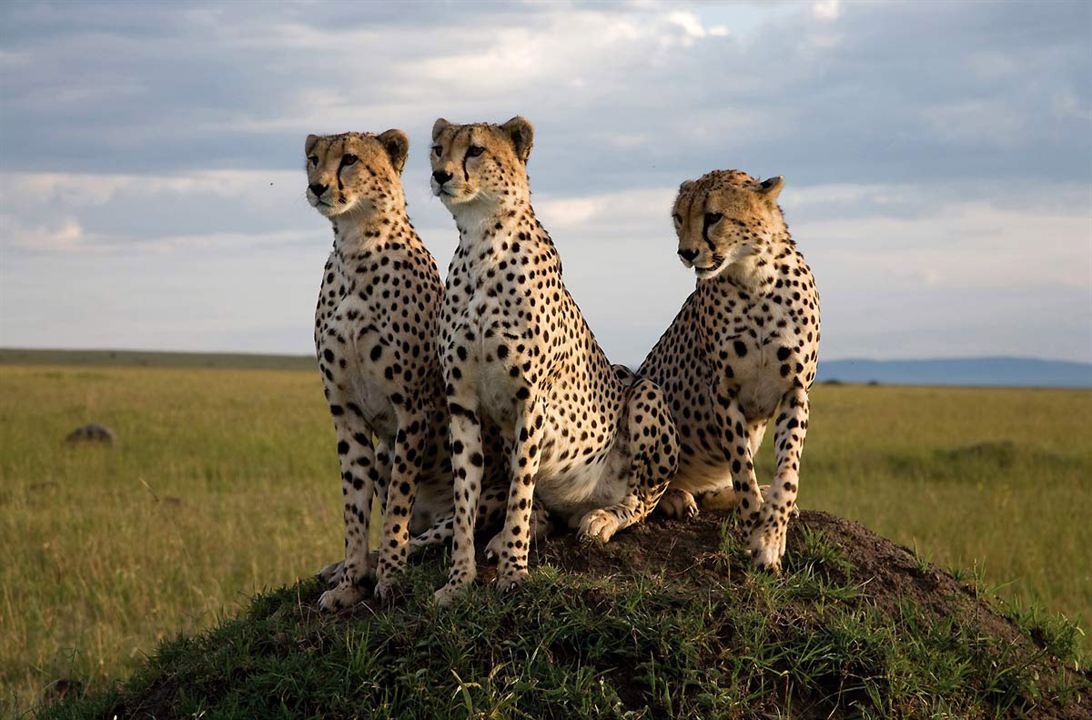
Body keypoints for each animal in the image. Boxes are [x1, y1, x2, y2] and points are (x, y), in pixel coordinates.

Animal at [303, 129, 515, 607]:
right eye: (312, 159)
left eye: (349, 160)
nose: (318, 186)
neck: (355, 247)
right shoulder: (345, 412)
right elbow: (354, 507)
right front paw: (349, 583)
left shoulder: (412, 407)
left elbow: (397, 503)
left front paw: (389, 578)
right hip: (384, 450)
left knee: (437, 532)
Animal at [428, 116, 677, 603]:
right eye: (437, 148)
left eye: (476, 150)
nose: (440, 175)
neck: (482, 241)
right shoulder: (462, 404)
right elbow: (466, 503)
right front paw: (459, 582)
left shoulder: (531, 401)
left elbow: (520, 490)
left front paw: (513, 574)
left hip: (643, 393)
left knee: (644, 501)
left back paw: (602, 518)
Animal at [637, 170, 821, 572]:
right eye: (679, 218)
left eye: (713, 217)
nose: (686, 252)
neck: (755, 279)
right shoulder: (722, 389)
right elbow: (741, 467)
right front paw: (754, 527)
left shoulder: (795, 390)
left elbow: (788, 472)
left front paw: (771, 534)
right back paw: (675, 497)